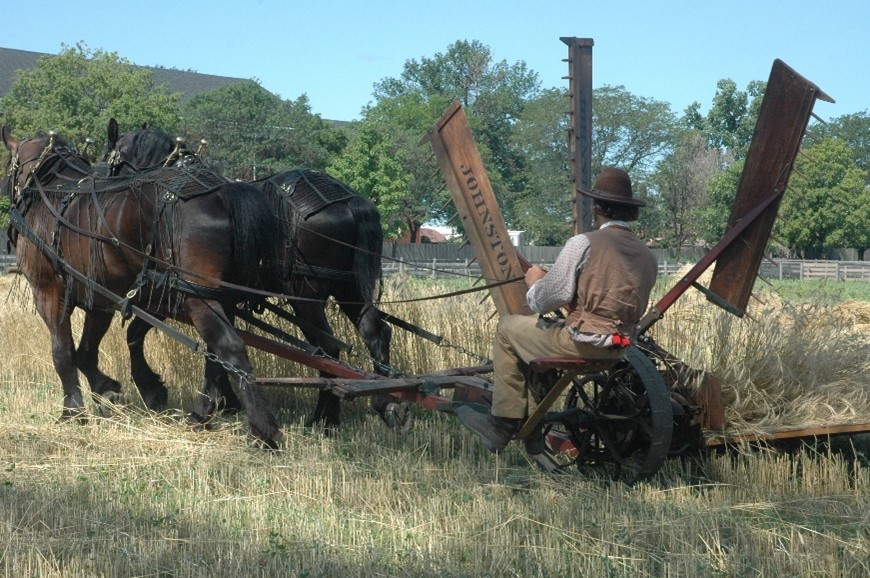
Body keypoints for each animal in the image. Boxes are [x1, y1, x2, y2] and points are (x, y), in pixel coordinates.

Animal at [2, 126, 284, 447]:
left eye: (9, 164)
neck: (53, 189)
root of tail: (224, 192)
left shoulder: (48, 293)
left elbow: (63, 352)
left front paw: (73, 411)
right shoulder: (101, 299)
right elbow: (88, 350)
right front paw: (113, 391)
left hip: (198, 299)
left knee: (229, 347)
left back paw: (262, 429)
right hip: (220, 299)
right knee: (215, 355)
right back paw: (202, 415)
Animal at [97, 119, 405, 432]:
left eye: (109, 162)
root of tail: (352, 202)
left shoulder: (173, 292)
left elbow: (136, 333)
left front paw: (159, 391)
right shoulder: (219, 299)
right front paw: (226, 401)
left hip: (307, 296)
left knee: (327, 348)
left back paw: (326, 417)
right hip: (349, 288)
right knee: (375, 332)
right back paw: (385, 403)